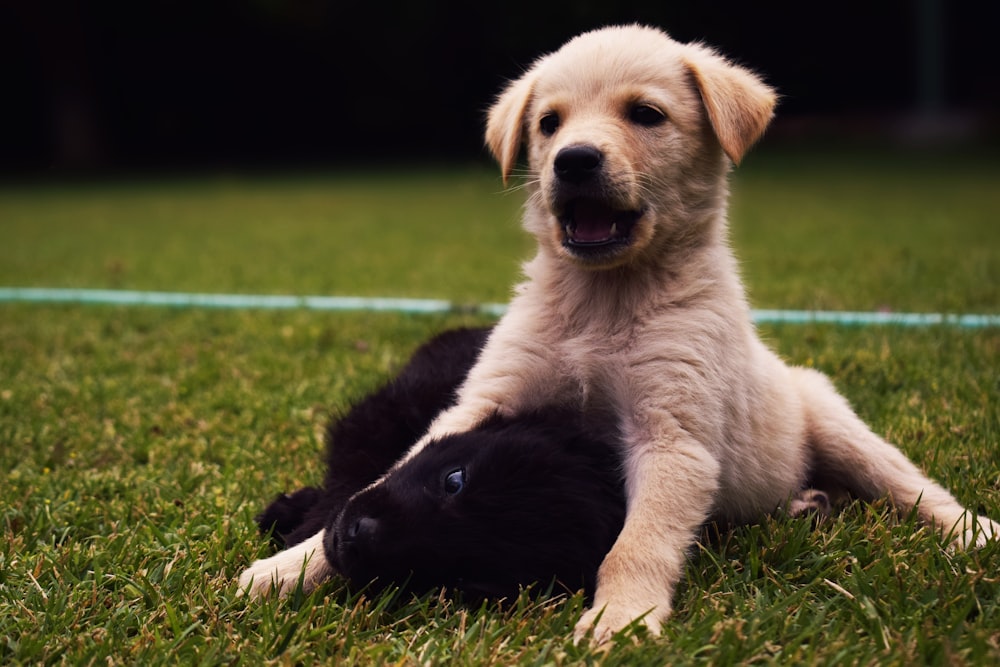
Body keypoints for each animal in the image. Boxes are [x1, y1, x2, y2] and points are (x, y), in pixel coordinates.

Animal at [400, 24, 1000, 640]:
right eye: (549, 123)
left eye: (646, 114)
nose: (573, 159)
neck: (605, 301)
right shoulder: (485, 399)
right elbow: (404, 463)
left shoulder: (673, 434)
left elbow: (637, 543)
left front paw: (619, 622)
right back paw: (806, 505)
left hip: (840, 429)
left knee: (912, 487)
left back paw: (973, 530)